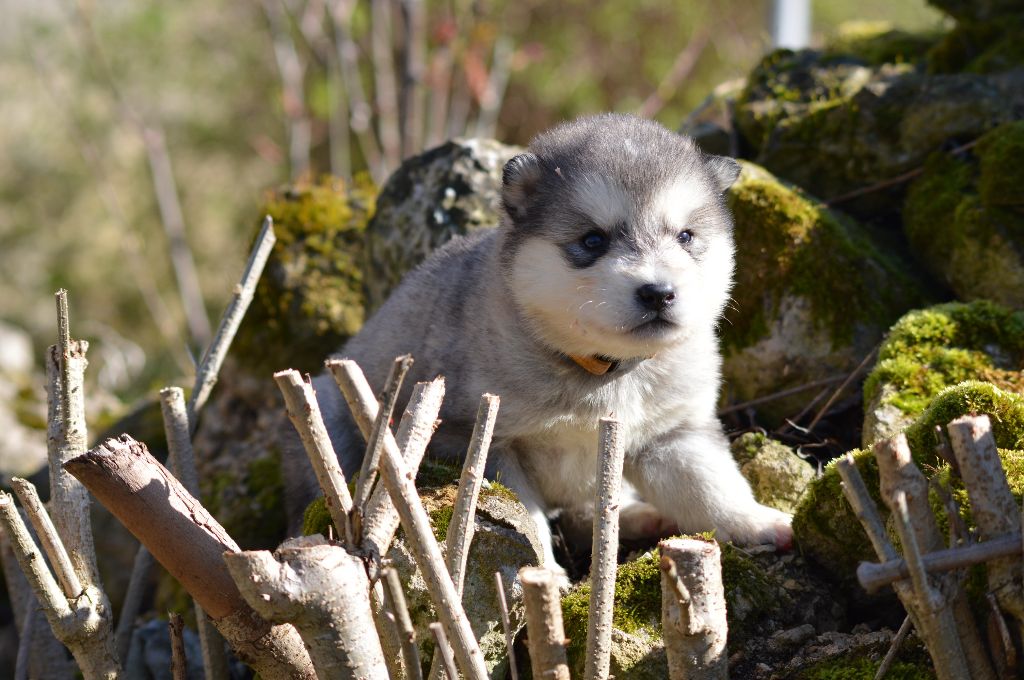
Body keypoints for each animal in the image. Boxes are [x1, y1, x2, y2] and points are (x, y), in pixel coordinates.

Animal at [296, 114, 790, 577]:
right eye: (593, 240)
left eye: (686, 236)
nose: (658, 293)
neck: (599, 370)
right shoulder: (486, 442)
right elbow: (527, 517)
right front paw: (544, 574)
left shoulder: (674, 435)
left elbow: (713, 488)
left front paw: (760, 522)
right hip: (331, 411)